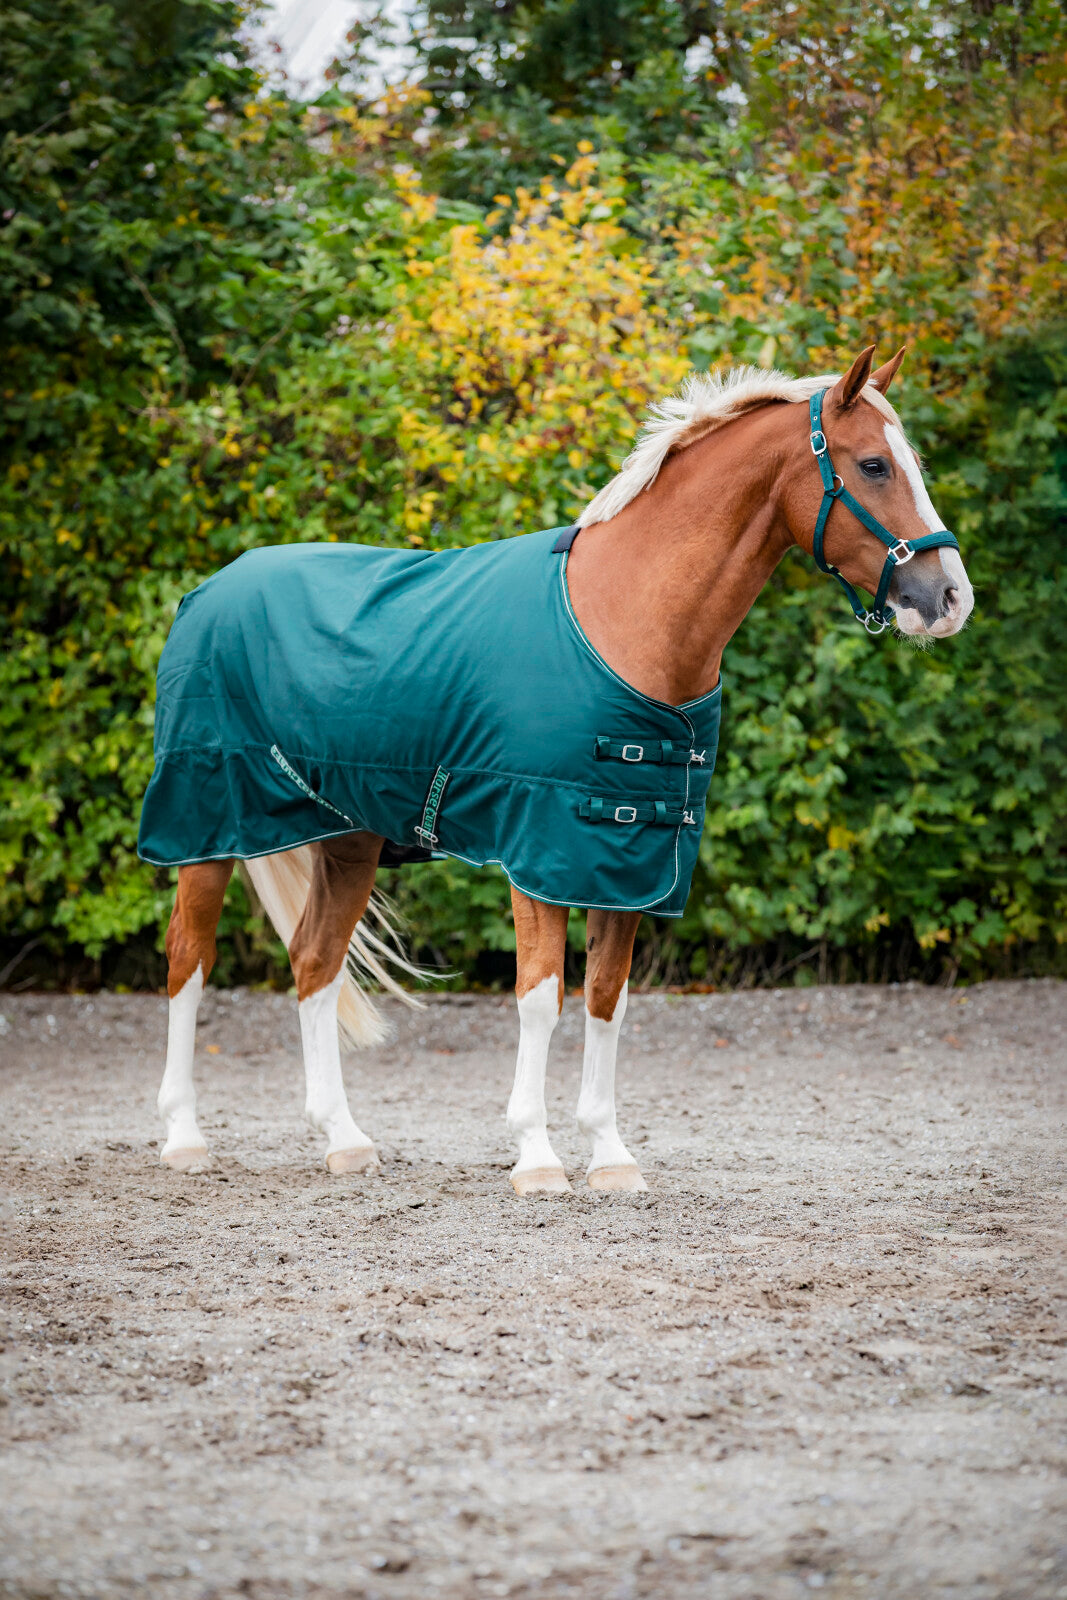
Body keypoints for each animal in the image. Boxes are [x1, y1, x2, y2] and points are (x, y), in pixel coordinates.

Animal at [143, 345, 973, 1193]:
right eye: (872, 465)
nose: (948, 598)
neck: (623, 620)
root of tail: (208, 590)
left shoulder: (629, 858)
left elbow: (606, 997)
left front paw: (609, 1156)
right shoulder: (539, 849)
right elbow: (541, 998)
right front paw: (537, 1158)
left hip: (349, 839)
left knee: (315, 962)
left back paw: (343, 1140)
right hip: (205, 824)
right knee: (188, 960)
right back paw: (183, 1138)